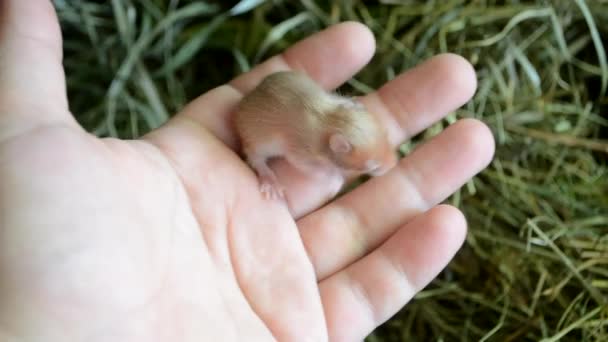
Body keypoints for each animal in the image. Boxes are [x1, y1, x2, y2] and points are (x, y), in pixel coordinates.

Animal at [234, 71, 400, 199]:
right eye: (373, 167)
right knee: (256, 159)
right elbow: (310, 167)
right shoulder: (302, 152)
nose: (394, 164)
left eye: (386, 136)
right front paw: (336, 179)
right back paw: (270, 180)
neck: (331, 122)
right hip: (257, 142)